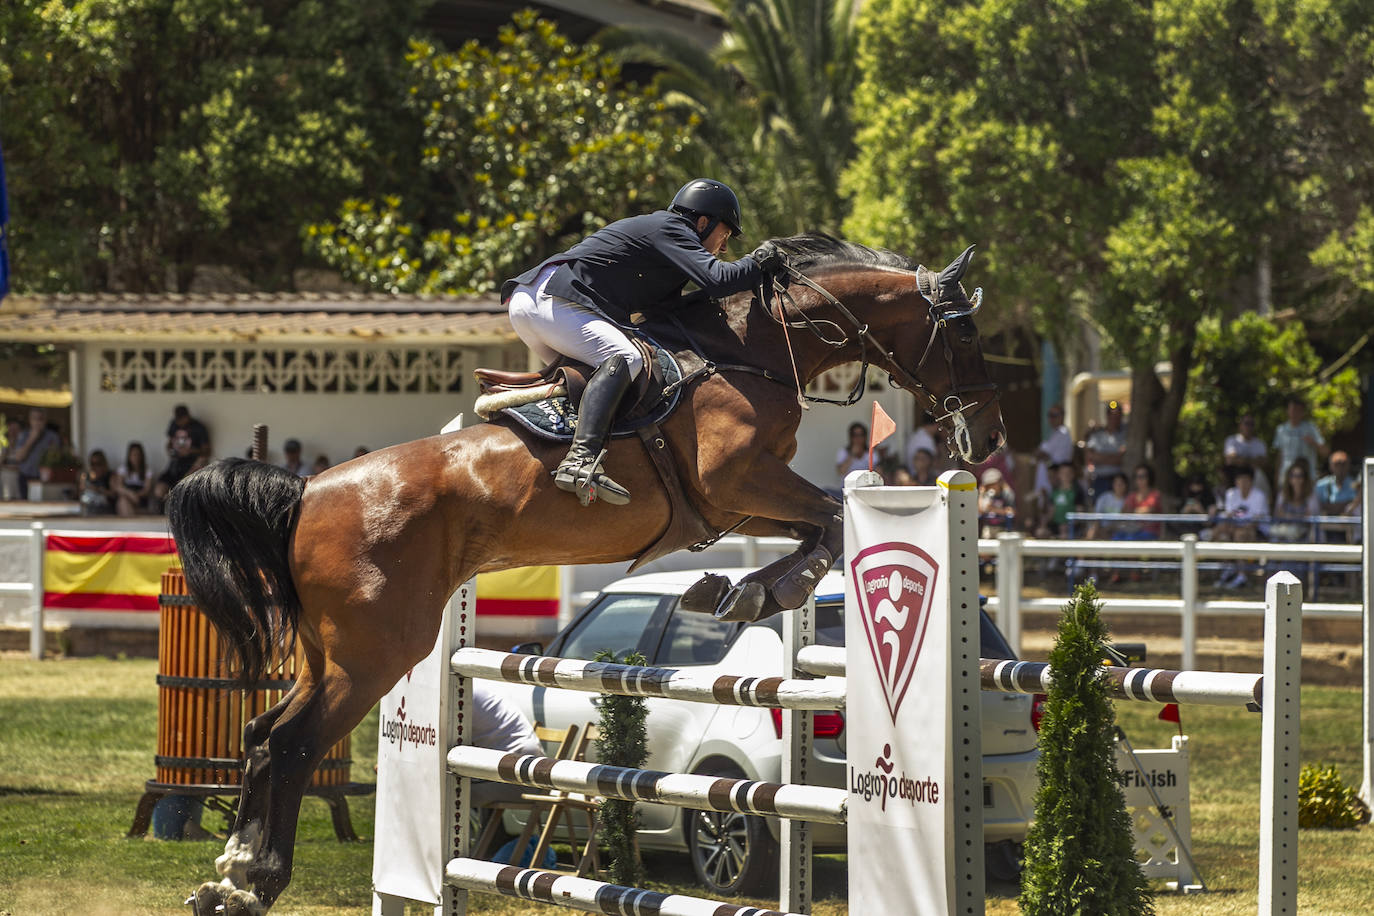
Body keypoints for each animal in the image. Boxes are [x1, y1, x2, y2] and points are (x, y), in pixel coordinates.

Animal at [174, 234, 1011, 911]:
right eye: (965, 331)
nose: (992, 437)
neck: (754, 352)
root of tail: (308, 491)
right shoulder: (739, 479)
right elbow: (833, 517)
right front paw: (762, 590)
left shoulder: (729, 503)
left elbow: (822, 525)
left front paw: (740, 588)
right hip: (377, 654)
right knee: (291, 744)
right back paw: (254, 882)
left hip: (330, 654)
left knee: (262, 734)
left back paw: (227, 878)